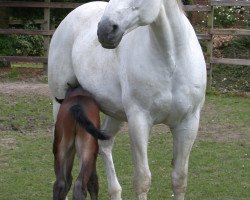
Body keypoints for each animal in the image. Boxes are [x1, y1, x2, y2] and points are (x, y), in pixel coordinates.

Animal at [47, 0, 206, 200]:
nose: (105, 30)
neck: (172, 60)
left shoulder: (188, 123)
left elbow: (179, 179)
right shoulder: (139, 121)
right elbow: (142, 180)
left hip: (113, 116)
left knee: (104, 145)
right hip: (59, 109)